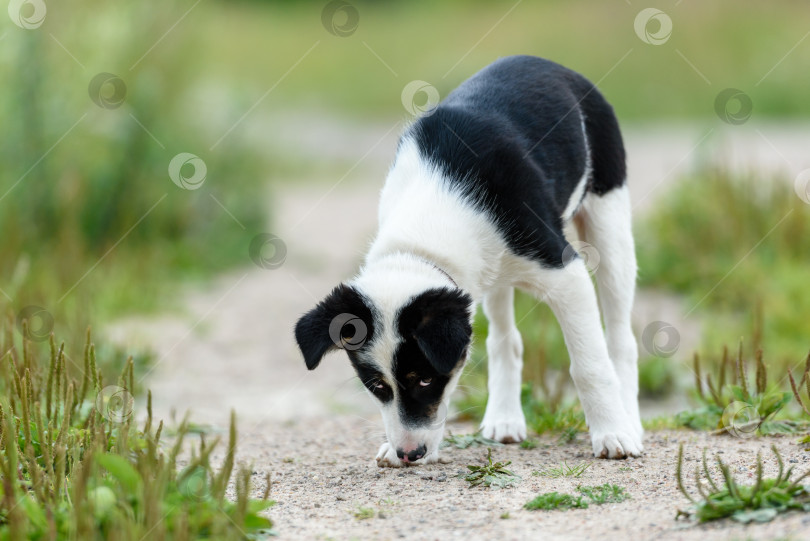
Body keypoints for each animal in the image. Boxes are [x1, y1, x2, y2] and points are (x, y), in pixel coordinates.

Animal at [294, 57, 640, 466]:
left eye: (425, 378)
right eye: (377, 385)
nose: (410, 454)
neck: (425, 233)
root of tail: (546, 63)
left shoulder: (565, 273)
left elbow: (589, 365)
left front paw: (612, 433)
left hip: (609, 222)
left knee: (620, 337)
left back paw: (629, 422)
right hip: (493, 275)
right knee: (506, 340)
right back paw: (505, 419)